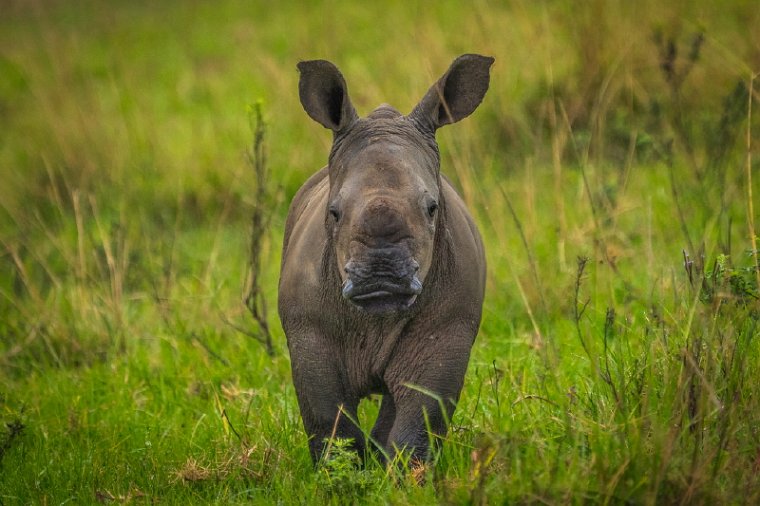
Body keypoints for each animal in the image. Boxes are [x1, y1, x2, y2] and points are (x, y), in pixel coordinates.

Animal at [280, 53, 492, 464]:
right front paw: (339, 474)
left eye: (432, 208)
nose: (381, 277)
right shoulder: (308, 332)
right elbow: (329, 421)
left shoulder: (446, 330)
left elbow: (419, 420)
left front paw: (406, 474)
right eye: (333, 213)